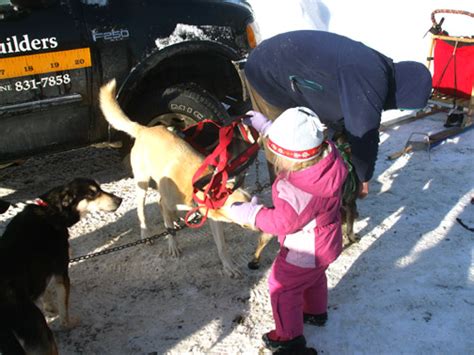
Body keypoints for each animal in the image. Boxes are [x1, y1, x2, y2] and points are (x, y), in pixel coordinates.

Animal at [0, 179, 121, 354]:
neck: (52, 212)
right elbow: (63, 312)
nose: (120, 200)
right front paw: (68, 323)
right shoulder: (61, 273)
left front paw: (50, 307)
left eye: (100, 188)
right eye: (93, 193)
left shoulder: (42, 272)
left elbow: (44, 292)